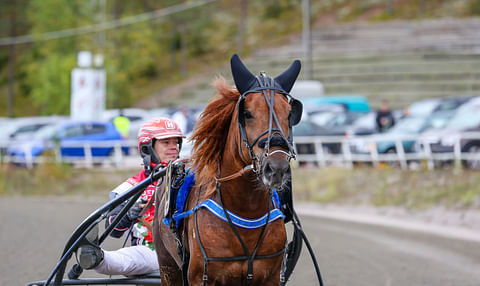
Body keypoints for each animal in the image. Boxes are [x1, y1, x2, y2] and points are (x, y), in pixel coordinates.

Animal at [153, 54, 304, 286]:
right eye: (247, 113)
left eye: (289, 114)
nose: (276, 168)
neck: (246, 210)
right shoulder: (201, 277)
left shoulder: (270, 276)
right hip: (167, 266)